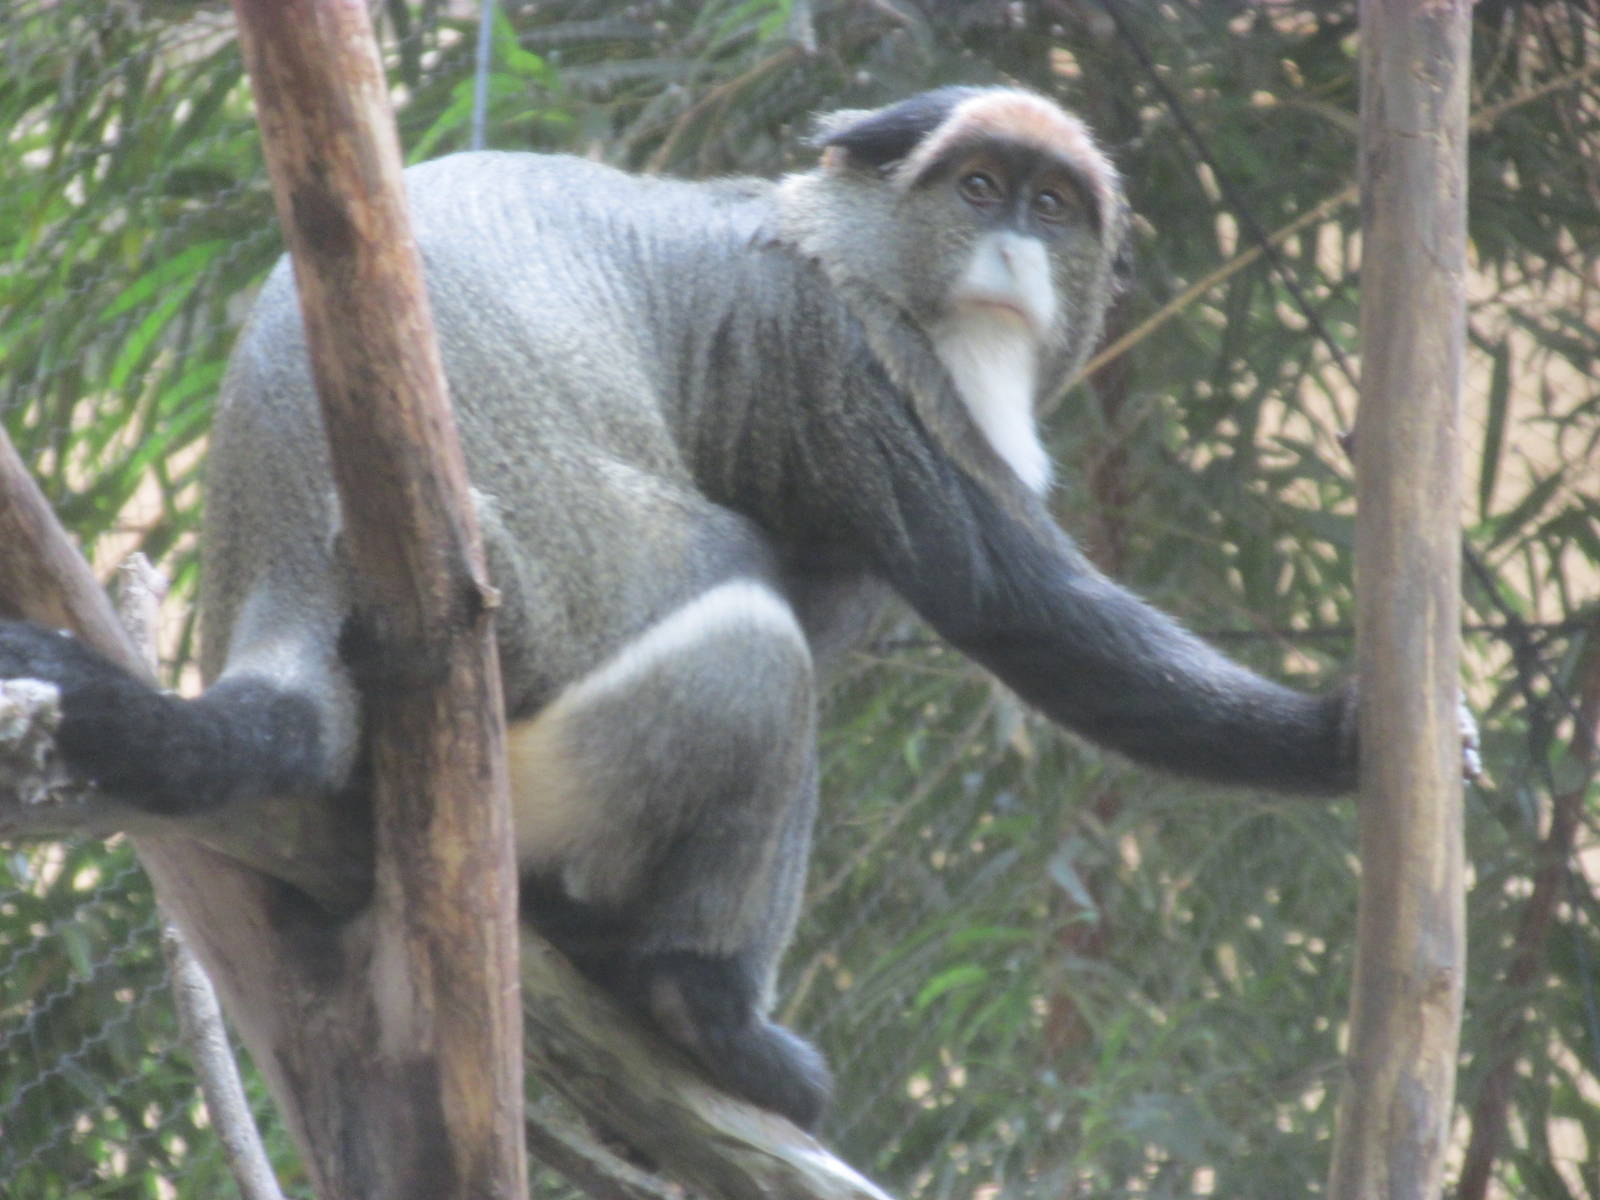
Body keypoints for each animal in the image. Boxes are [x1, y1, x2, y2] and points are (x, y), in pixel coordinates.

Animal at [0, 86, 1360, 1130]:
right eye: (977, 189)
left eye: (1052, 207)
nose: (1016, 250)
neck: (833, 236)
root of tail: (284, 568)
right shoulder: (834, 352)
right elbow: (1019, 606)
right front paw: (1337, 738)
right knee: (759, 653)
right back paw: (693, 999)